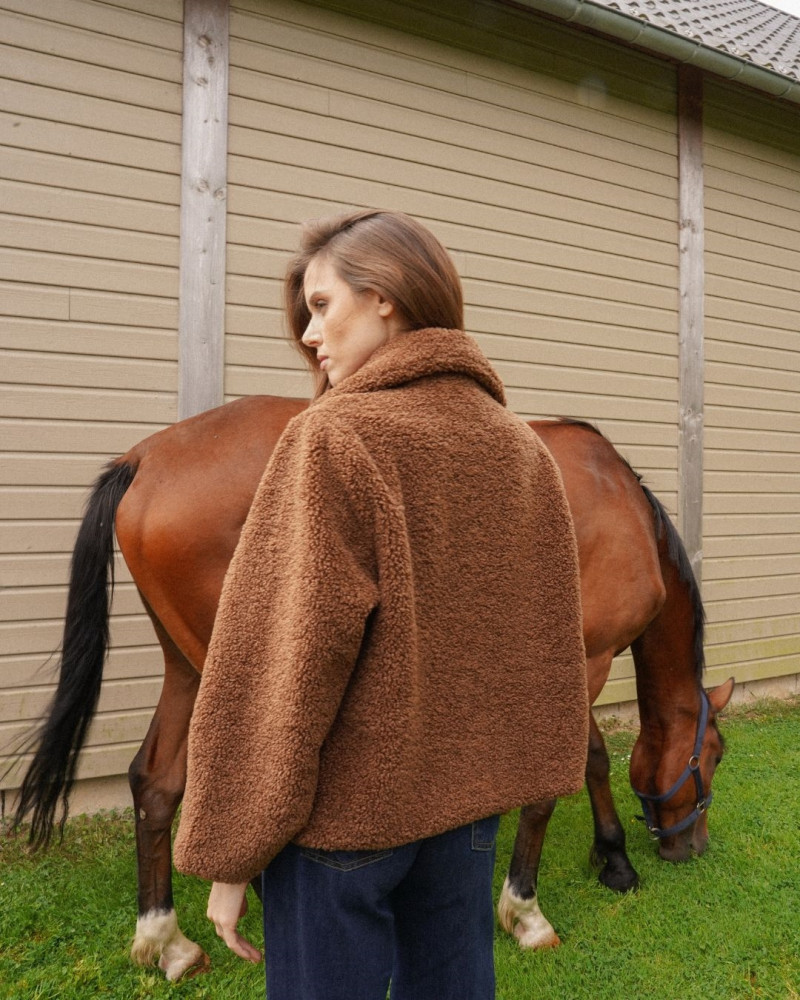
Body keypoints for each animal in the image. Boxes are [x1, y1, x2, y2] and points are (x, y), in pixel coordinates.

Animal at [9, 395, 733, 980]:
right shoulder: (585, 656)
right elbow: (578, 767)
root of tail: (146, 458)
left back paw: (170, 944)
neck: (618, 503)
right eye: (714, 757)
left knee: (156, 784)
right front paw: (553, 895)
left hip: (191, 667)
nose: (691, 846)